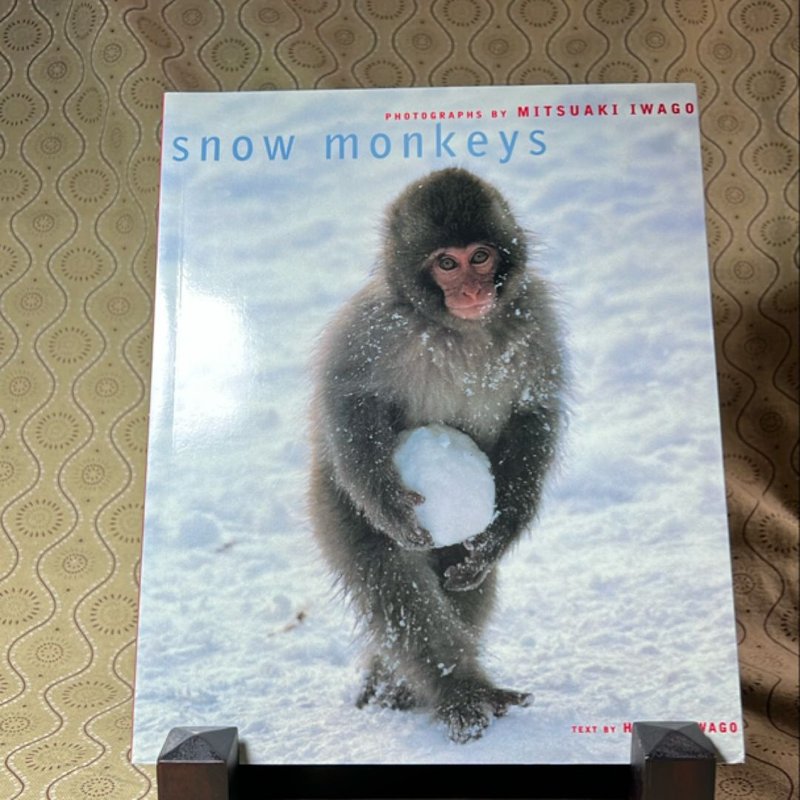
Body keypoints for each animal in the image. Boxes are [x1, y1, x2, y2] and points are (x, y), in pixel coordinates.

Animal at [309, 167, 566, 744]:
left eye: (480, 256)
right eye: (446, 263)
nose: (471, 289)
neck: (459, 330)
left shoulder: (536, 319)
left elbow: (533, 412)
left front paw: (502, 531)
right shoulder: (374, 324)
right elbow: (350, 401)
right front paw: (390, 506)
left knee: (461, 579)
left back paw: (410, 687)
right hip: (334, 500)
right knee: (392, 579)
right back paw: (457, 691)